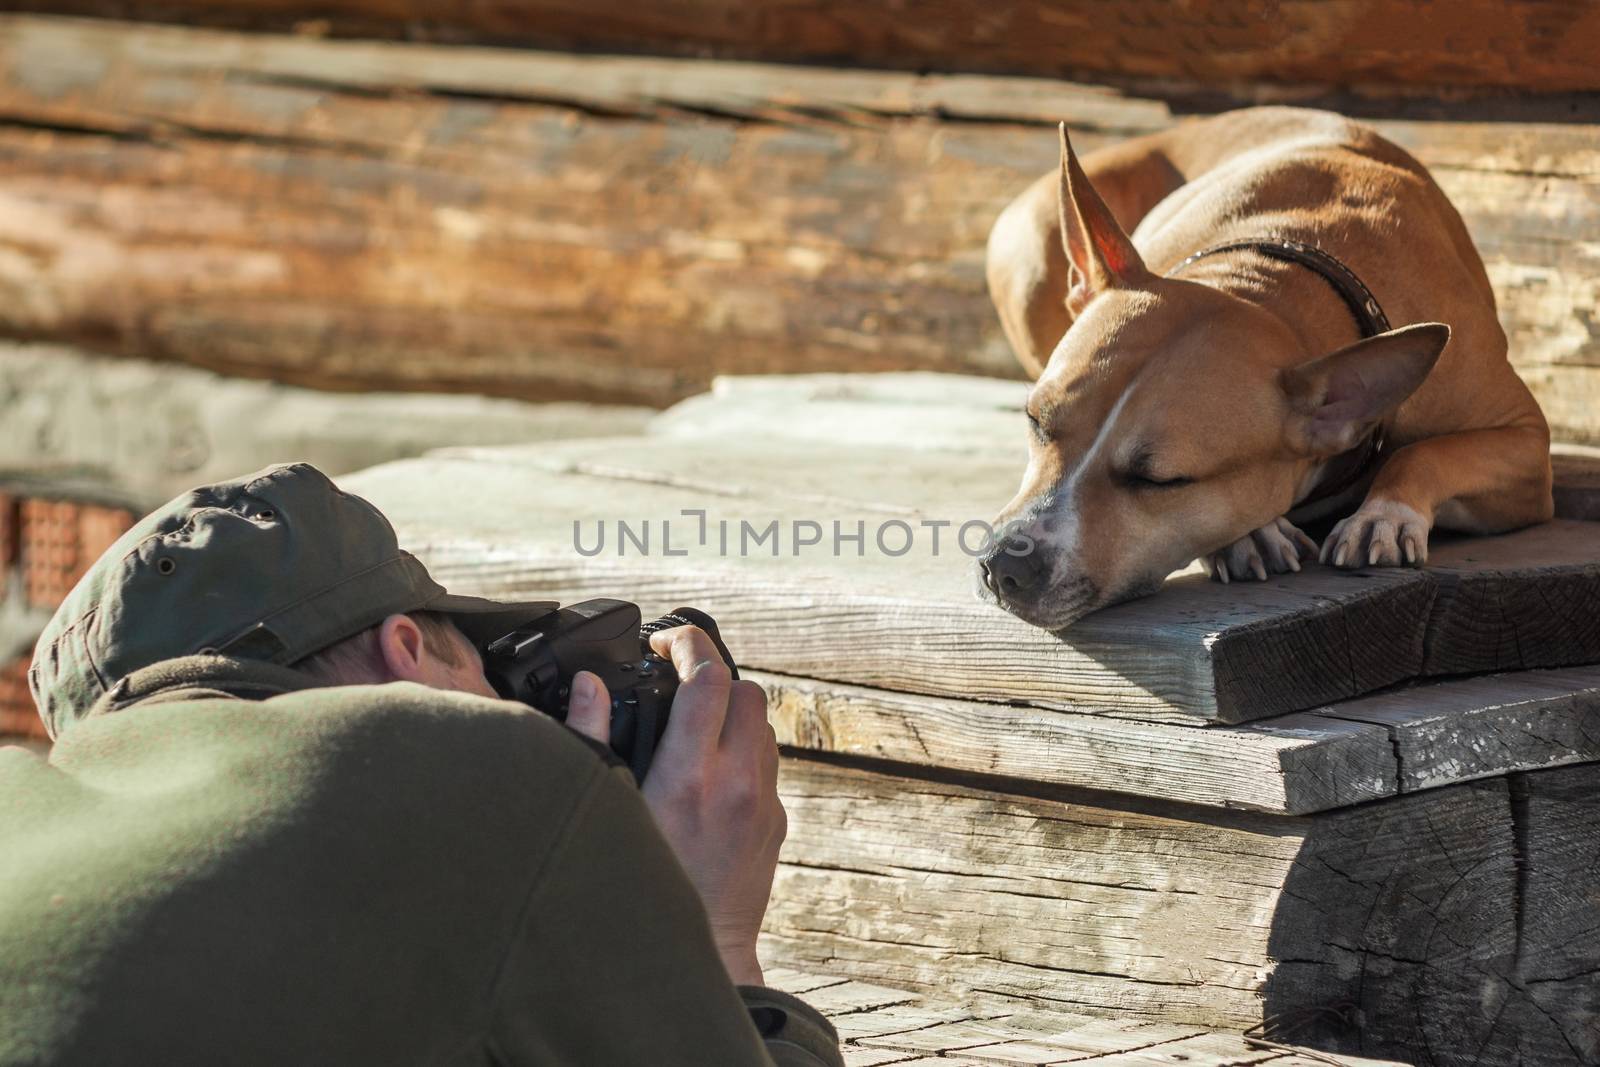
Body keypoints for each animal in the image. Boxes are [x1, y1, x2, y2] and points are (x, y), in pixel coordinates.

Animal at [972, 105, 1548, 630]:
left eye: (1161, 481)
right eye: (1036, 420)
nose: (1003, 567)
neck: (1273, 278)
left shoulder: (1529, 444)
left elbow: (1425, 454)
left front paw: (1384, 513)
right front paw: (1251, 533)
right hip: (1028, 237)